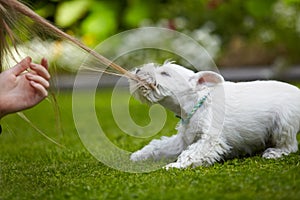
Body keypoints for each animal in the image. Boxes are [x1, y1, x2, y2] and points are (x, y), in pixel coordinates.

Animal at [128, 62, 300, 169]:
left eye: (165, 73)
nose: (137, 71)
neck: (196, 103)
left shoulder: (210, 140)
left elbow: (190, 154)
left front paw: (174, 166)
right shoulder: (183, 141)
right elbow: (159, 146)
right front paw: (139, 155)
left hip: (284, 125)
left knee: (290, 145)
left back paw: (274, 152)